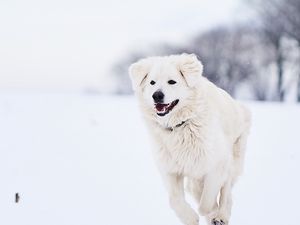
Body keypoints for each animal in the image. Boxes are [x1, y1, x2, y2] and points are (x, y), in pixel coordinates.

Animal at [129, 53, 251, 224]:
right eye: (152, 82)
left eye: (172, 81)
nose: (157, 95)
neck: (180, 126)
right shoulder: (170, 169)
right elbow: (175, 200)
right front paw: (191, 218)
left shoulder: (217, 163)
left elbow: (208, 199)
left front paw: (208, 211)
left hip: (233, 159)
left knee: (226, 193)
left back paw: (220, 216)